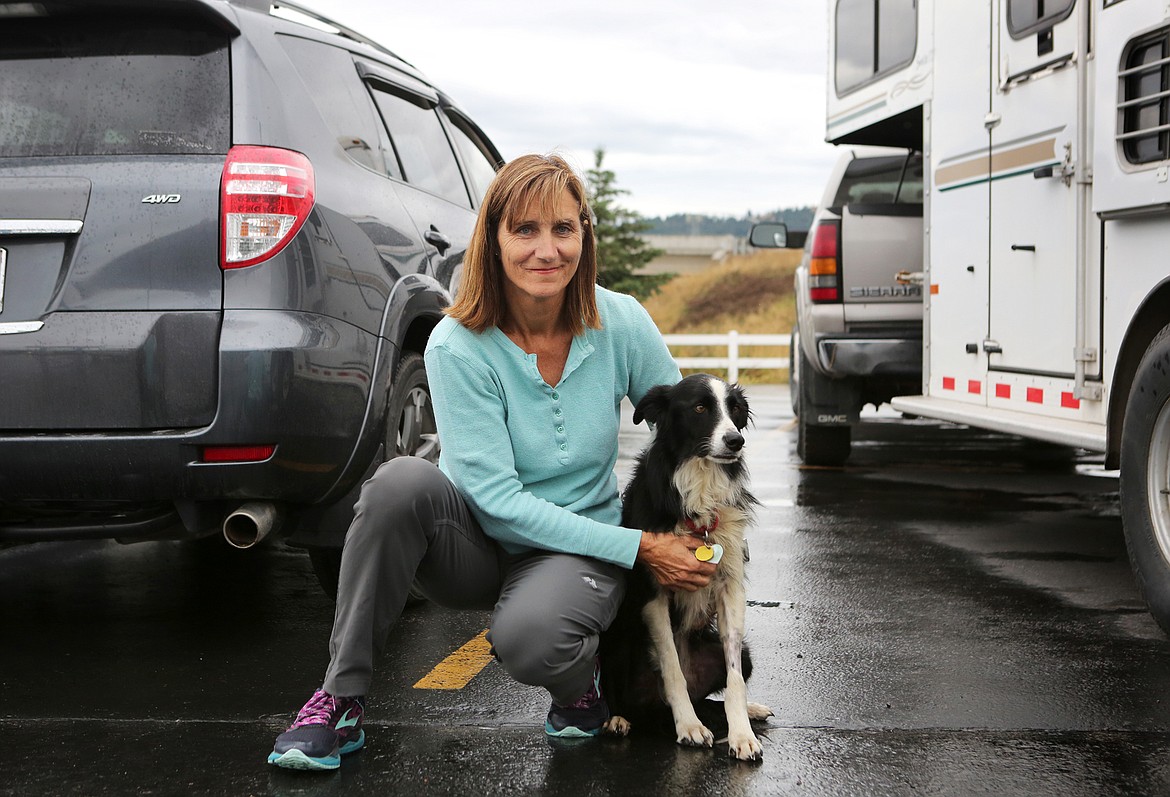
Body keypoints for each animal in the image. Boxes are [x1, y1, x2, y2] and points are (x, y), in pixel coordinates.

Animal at [603, 372, 767, 758]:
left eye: (734, 410)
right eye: (700, 408)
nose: (736, 441)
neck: (701, 477)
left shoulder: (730, 587)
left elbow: (734, 677)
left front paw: (742, 734)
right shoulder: (654, 595)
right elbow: (671, 667)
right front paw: (689, 726)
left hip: (742, 653)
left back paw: (750, 710)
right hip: (618, 636)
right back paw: (617, 719)